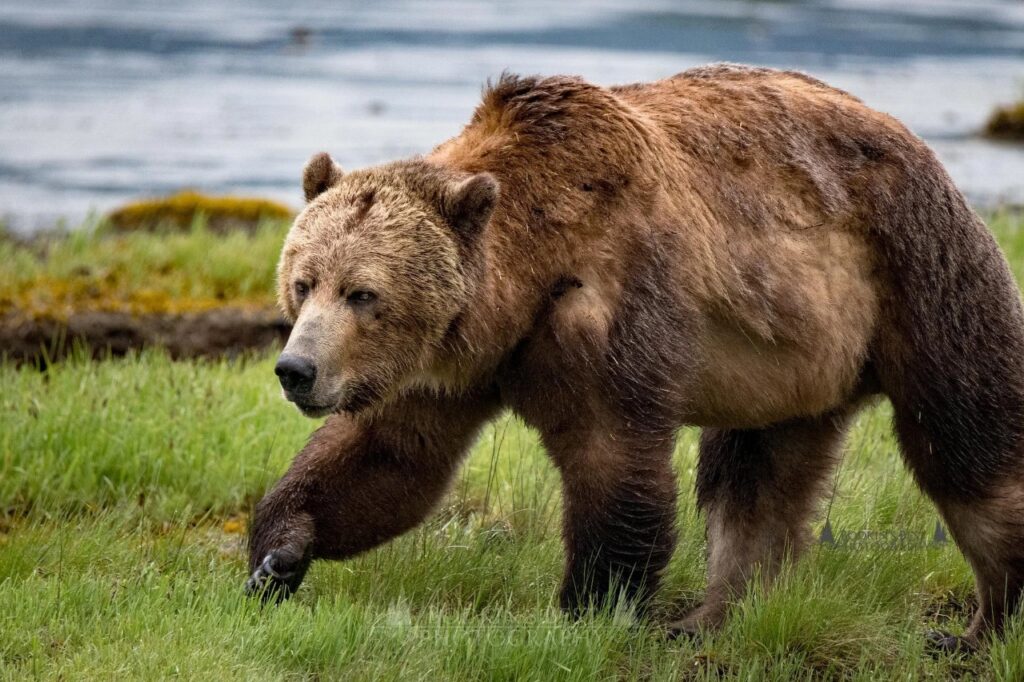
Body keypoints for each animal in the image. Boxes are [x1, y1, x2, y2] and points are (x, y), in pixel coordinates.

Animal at [246, 64, 1024, 653]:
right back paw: (712, 617)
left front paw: (585, 611)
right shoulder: (445, 365)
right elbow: (388, 459)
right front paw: (276, 557)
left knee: (964, 440)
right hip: (797, 359)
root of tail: (908, 135)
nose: (296, 370)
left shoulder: (608, 307)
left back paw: (978, 626)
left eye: (363, 293)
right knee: (757, 476)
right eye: (303, 281)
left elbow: (612, 459)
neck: (524, 277)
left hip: (917, 272)